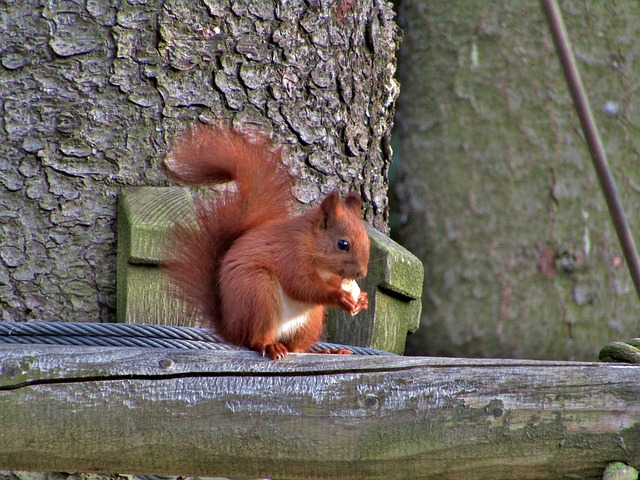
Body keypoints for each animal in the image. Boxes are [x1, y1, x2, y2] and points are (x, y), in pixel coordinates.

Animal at [162, 122, 370, 358]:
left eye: (367, 241)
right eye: (342, 244)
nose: (361, 273)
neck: (312, 245)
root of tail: (232, 329)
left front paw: (362, 299)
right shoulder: (291, 255)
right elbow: (302, 286)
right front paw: (339, 296)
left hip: (310, 319)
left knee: (297, 348)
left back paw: (328, 352)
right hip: (258, 293)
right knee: (256, 339)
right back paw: (270, 346)